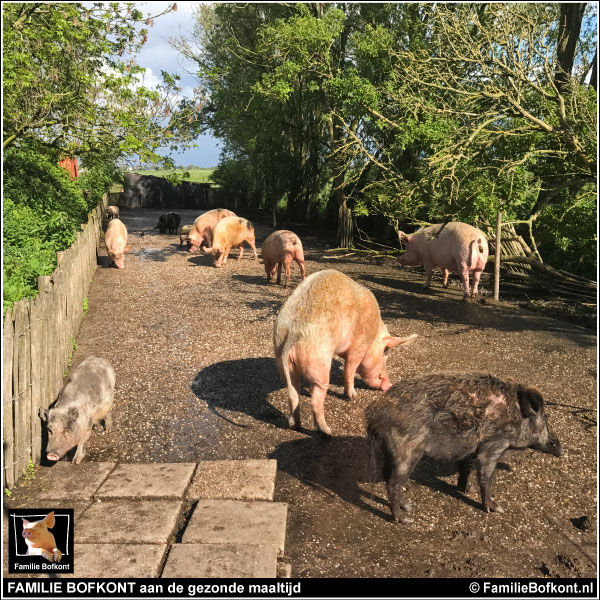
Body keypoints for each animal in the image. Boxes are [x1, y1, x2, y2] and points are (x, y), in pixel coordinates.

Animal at [274, 270, 418, 434]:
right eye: (386, 352)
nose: (389, 384)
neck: (373, 335)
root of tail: (293, 332)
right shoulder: (359, 347)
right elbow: (349, 370)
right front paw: (353, 397)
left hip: (283, 361)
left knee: (293, 394)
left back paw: (295, 426)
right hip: (319, 364)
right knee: (315, 401)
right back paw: (327, 432)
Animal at [366, 372, 564, 524]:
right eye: (545, 419)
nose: (559, 446)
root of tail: (373, 415)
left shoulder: (470, 449)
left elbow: (465, 469)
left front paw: (469, 490)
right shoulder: (493, 444)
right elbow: (486, 475)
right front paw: (496, 508)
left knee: (387, 476)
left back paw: (407, 506)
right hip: (406, 451)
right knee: (393, 482)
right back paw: (405, 519)